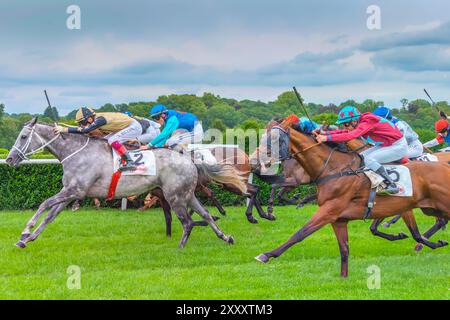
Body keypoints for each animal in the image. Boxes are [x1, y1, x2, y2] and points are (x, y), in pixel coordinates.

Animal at [5, 119, 248, 249]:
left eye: (24, 136)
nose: (9, 159)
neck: (75, 153)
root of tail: (188, 157)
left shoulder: (74, 190)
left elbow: (44, 204)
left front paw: (25, 231)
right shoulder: (72, 193)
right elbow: (50, 215)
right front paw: (28, 238)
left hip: (175, 196)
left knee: (188, 222)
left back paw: (180, 248)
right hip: (187, 194)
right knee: (205, 215)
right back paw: (226, 237)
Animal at [251, 115, 450, 278]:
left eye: (274, 139)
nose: (253, 162)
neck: (334, 169)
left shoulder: (329, 211)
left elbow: (300, 233)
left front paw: (266, 254)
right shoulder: (339, 219)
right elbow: (345, 249)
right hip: (430, 208)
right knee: (438, 221)